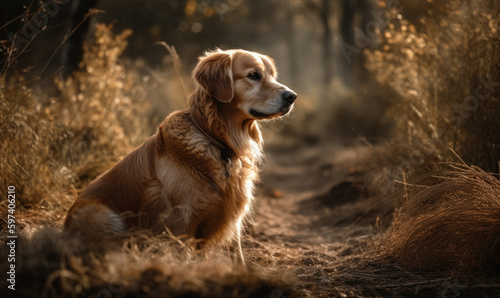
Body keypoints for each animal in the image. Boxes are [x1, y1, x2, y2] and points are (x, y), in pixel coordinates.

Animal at [63, 49, 296, 264]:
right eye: (254, 75)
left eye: (272, 75)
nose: (292, 96)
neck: (217, 142)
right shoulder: (179, 222)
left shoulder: (233, 216)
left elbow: (237, 256)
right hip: (103, 215)